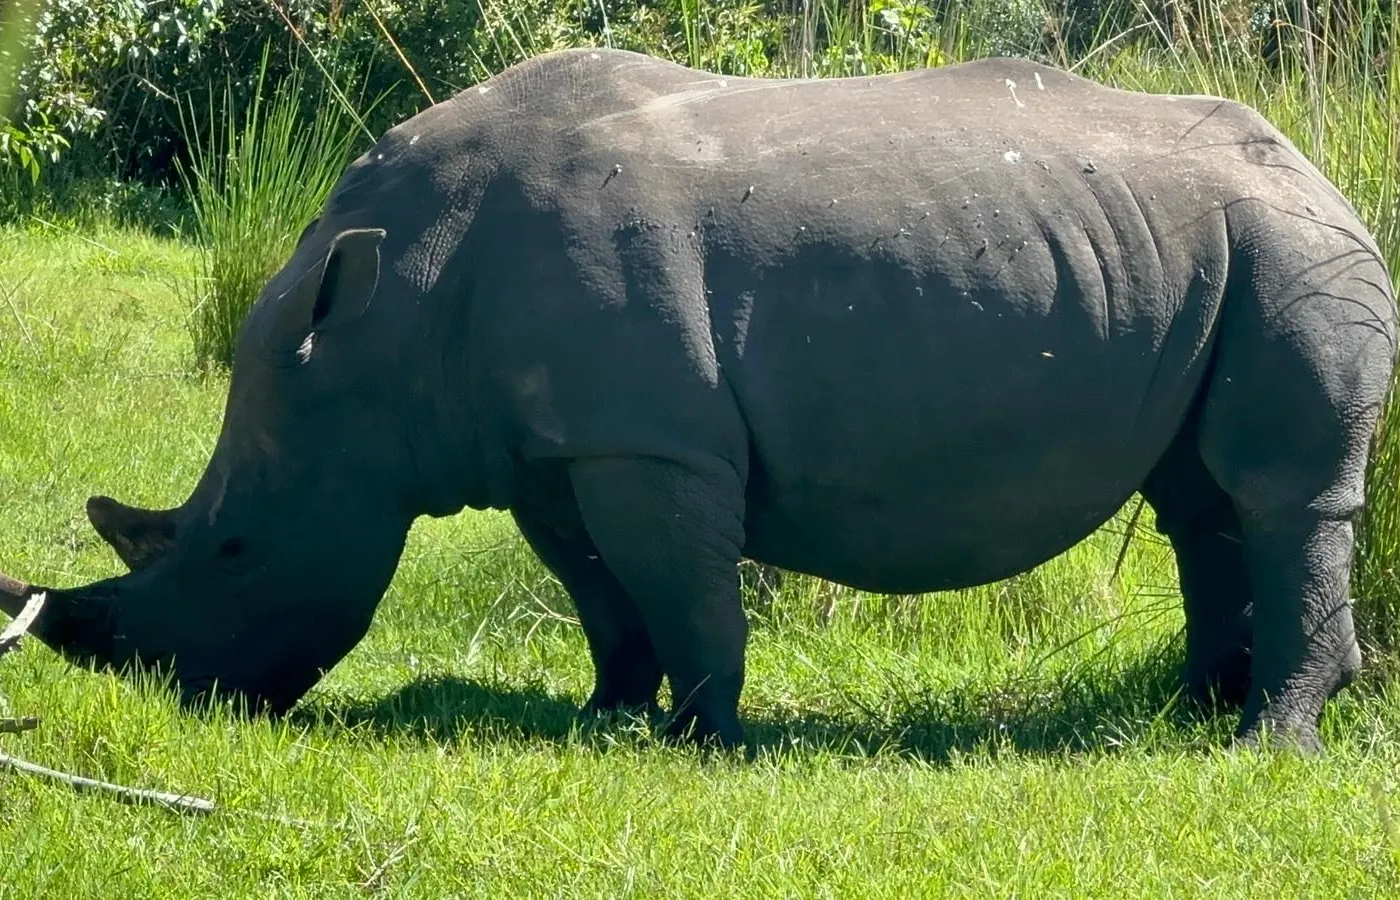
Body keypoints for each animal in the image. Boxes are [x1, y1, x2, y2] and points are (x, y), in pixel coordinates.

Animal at [2, 49, 1395, 753]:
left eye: (235, 549)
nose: (172, 700)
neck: (386, 321)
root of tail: (1319, 168)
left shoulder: (647, 444)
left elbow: (681, 589)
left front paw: (701, 737)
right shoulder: (550, 449)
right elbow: (600, 592)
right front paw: (604, 720)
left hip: (1289, 240)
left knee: (1277, 494)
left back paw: (1266, 741)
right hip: (1215, 246)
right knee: (1198, 500)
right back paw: (1185, 714)